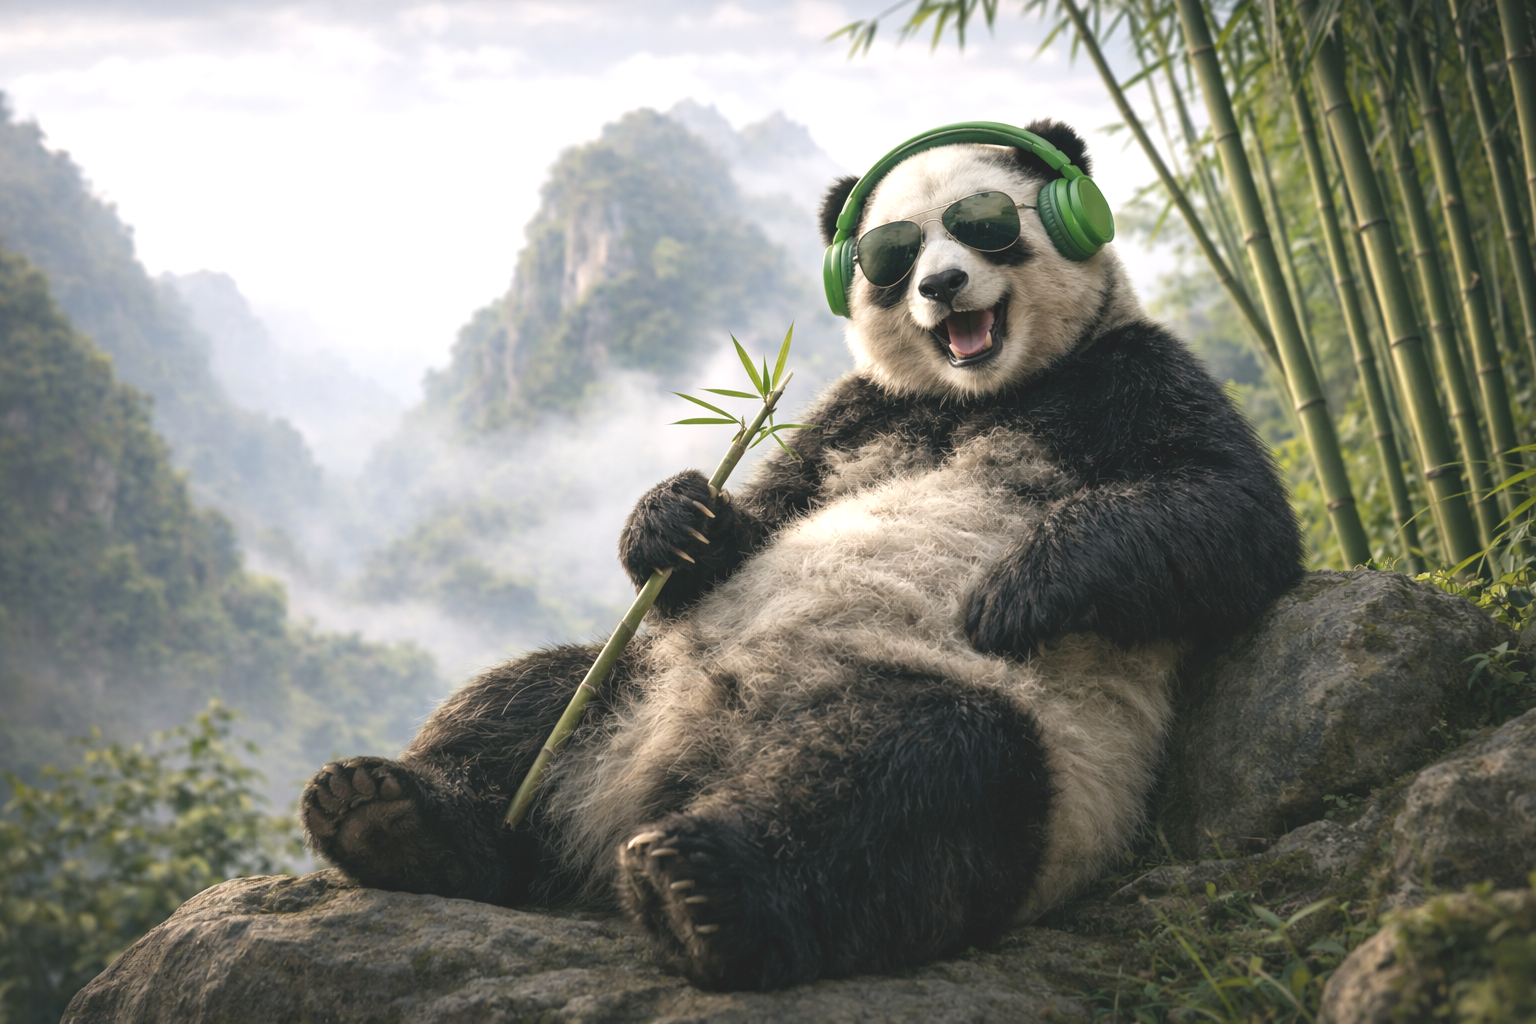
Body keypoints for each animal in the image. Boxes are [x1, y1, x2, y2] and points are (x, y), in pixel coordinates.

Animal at [301, 119, 1301, 992]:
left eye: (988, 224)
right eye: (893, 255)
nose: (943, 285)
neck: (984, 395)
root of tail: (674, 775)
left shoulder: (1129, 372)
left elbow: (1228, 510)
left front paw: (1015, 590)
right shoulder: (852, 413)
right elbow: (759, 518)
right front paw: (675, 517)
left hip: (1039, 765)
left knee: (913, 778)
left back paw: (698, 888)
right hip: (637, 682)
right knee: (532, 695)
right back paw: (388, 815)